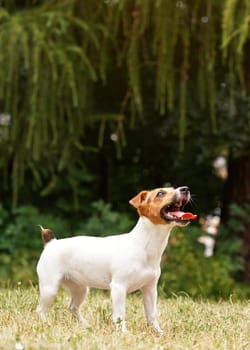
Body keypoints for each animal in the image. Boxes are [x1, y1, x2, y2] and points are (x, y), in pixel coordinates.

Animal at [36, 185, 197, 332]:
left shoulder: (150, 289)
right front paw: (123, 333)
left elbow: (152, 314)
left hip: (80, 289)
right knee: (40, 310)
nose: (185, 189)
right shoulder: (119, 288)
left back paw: (86, 326)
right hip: (50, 288)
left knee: (72, 307)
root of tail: (51, 242)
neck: (144, 245)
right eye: (160, 193)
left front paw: (158, 332)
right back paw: (47, 324)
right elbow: (120, 315)